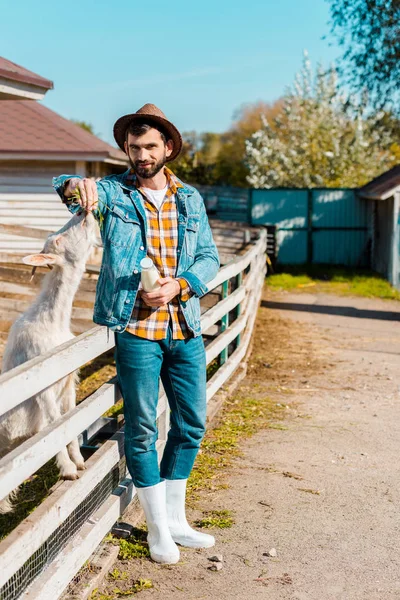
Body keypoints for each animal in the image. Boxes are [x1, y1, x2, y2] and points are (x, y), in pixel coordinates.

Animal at [0, 210, 99, 510]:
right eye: (57, 240)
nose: (83, 212)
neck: (51, 321)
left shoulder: (67, 380)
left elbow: (70, 419)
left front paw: (79, 460)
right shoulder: (42, 382)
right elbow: (56, 425)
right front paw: (68, 470)